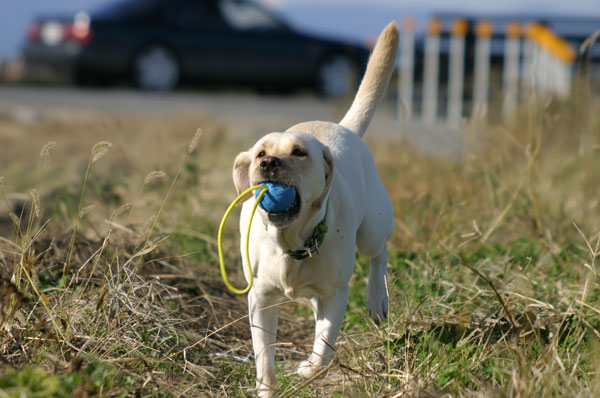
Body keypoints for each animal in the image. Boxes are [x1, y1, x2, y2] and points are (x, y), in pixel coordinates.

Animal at [233, 22, 398, 398]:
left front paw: (308, 369)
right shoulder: (260, 300)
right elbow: (264, 358)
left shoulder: (337, 294)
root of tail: (343, 126)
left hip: (373, 226)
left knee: (378, 251)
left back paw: (376, 298)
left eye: (299, 152)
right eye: (261, 152)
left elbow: (324, 351)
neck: (291, 244)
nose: (269, 163)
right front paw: (267, 388)